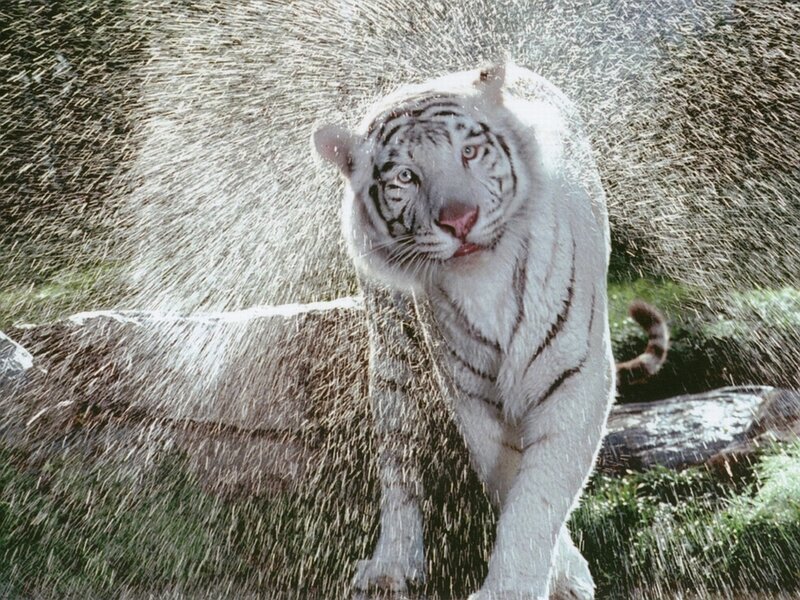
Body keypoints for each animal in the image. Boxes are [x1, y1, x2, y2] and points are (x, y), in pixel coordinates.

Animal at [313, 63, 668, 599]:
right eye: (405, 176)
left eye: (470, 152)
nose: (460, 220)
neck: (486, 280)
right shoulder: (472, 394)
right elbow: (511, 484)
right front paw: (553, 575)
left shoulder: (577, 379)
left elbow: (538, 495)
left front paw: (533, 581)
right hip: (393, 357)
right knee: (399, 461)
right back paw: (391, 564)